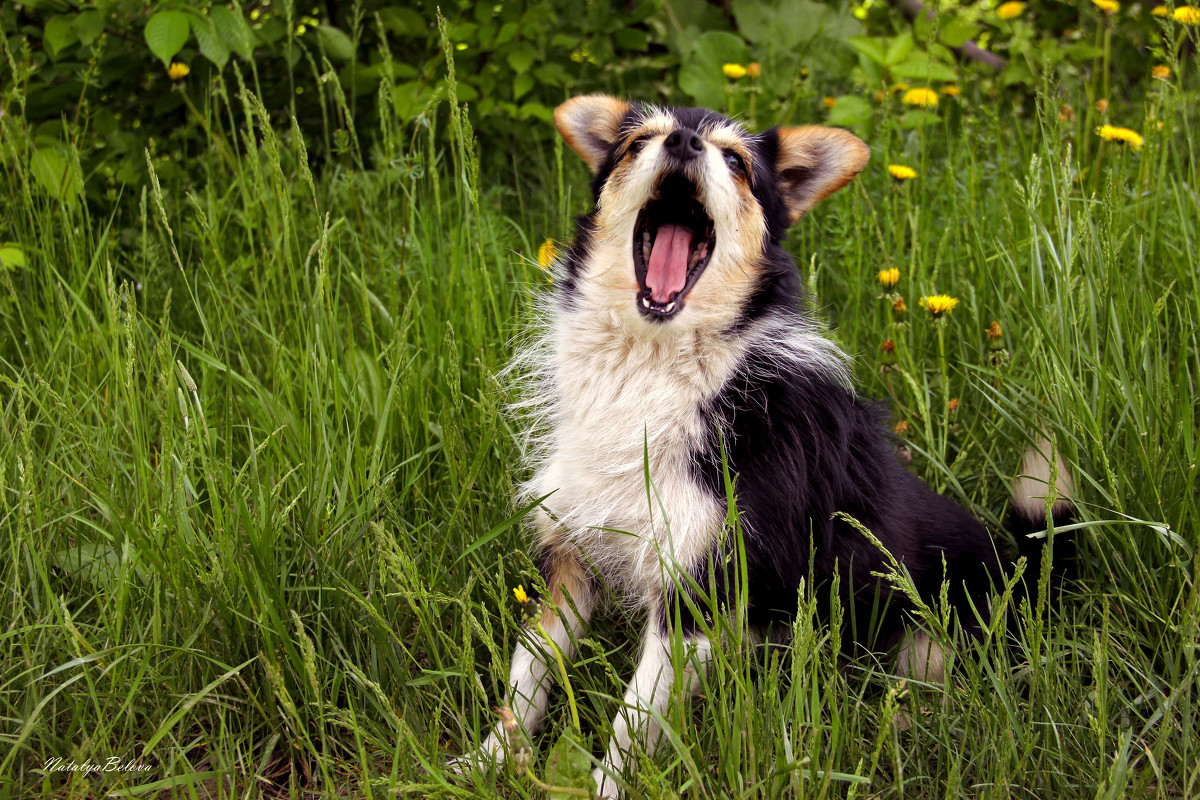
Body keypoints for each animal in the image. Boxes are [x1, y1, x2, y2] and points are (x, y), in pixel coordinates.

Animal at [453, 95, 1075, 800]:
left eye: (736, 162)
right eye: (639, 142)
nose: (685, 143)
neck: (653, 364)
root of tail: (1025, 574)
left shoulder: (699, 595)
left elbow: (629, 722)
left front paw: (607, 788)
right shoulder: (570, 559)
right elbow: (527, 675)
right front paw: (487, 762)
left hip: (929, 641)